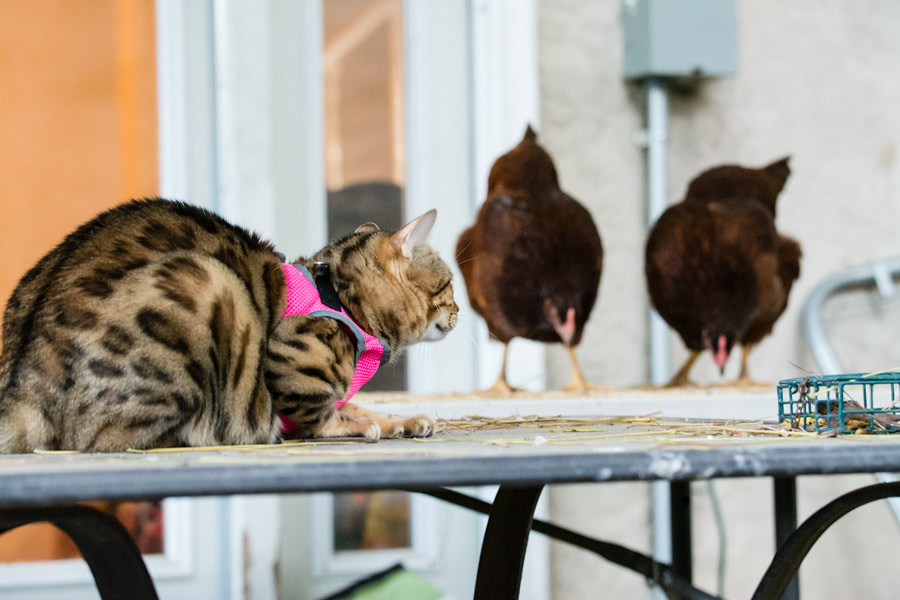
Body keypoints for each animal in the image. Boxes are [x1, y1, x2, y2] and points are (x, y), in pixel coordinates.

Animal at [0, 199, 454, 452]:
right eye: (449, 284)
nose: (458, 312)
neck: (339, 296)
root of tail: (22, 390)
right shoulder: (289, 360)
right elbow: (323, 416)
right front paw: (364, 426)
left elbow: (356, 403)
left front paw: (402, 420)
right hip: (209, 285)